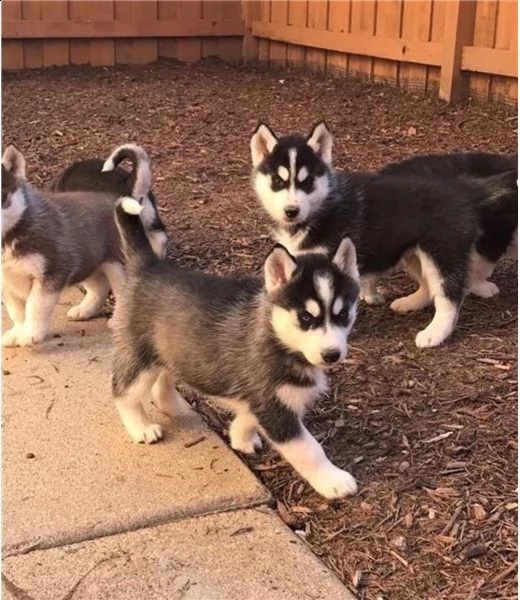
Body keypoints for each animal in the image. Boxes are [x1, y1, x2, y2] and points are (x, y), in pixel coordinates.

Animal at [1, 144, 150, 346]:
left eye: (2, 196)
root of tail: (119, 196)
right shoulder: (7, 283)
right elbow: (16, 311)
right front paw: (16, 332)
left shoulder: (53, 271)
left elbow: (35, 305)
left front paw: (31, 334)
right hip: (87, 261)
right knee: (99, 286)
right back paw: (84, 310)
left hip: (118, 266)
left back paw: (118, 320)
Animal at [111, 198, 360, 502]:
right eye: (305, 318)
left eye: (342, 314)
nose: (332, 355)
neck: (276, 337)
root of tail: (149, 266)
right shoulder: (275, 407)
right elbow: (308, 449)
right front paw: (333, 481)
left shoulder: (263, 399)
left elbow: (248, 415)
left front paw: (240, 437)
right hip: (139, 356)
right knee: (123, 392)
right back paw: (141, 427)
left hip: (170, 349)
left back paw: (171, 405)